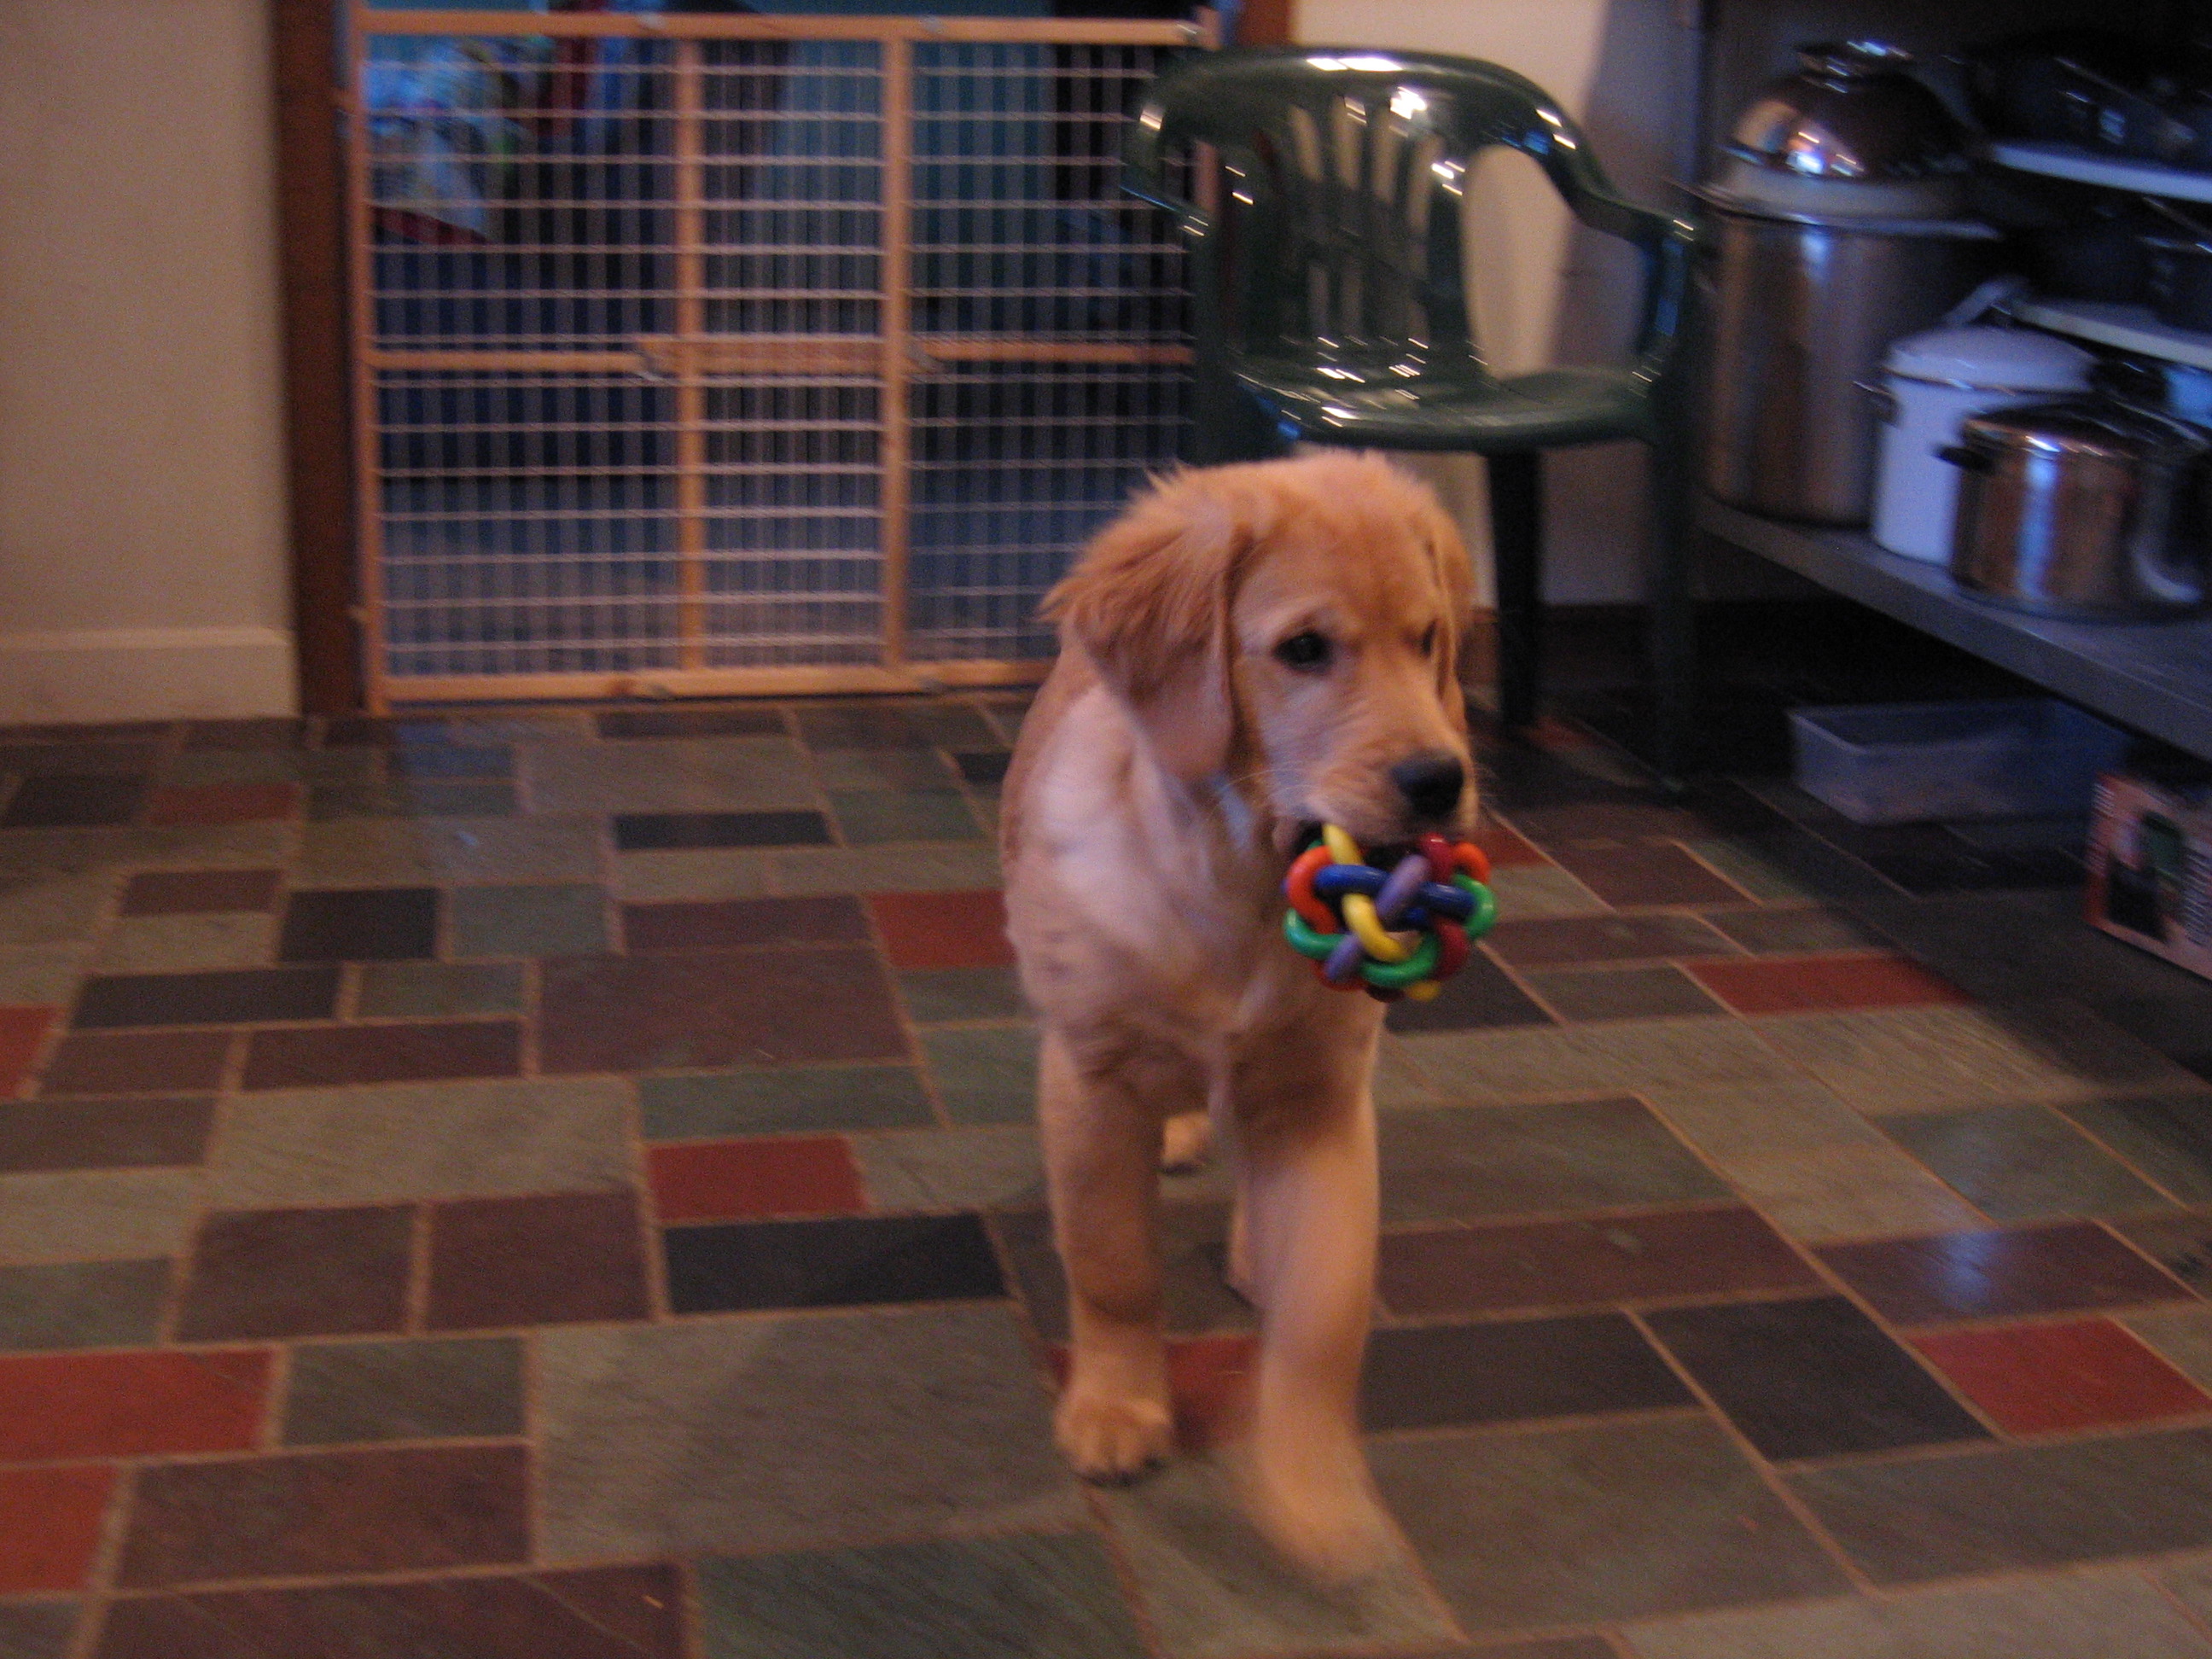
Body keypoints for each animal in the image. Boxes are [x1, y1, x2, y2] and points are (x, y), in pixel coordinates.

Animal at [1000, 450, 1477, 1578]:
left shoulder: (1320, 1093)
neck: (1240, 883)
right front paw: (1118, 1409)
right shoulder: (1090, 1078)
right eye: (1303, 650)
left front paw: (1312, 1487)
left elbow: (1327, 1303)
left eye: (1428, 637)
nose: (1441, 779)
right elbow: (1113, 1262)